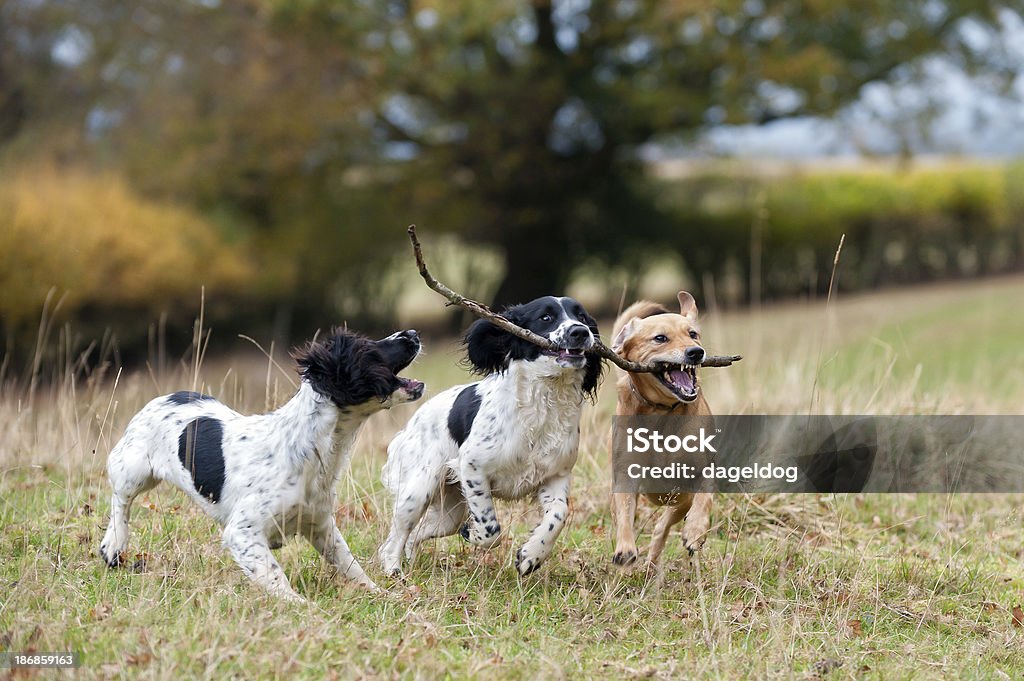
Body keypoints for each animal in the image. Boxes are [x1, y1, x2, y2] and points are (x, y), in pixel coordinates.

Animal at [98, 329, 423, 602]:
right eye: (367, 348)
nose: (412, 333)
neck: (308, 448)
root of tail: (167, 396)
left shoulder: (320, 525)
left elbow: (350, 565)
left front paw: (383, 593)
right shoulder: (243, 531)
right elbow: (275, 575)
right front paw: (301, 606)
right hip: (133, 471)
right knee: (120, 502)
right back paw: (114, 544)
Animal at [376, 296, 598, 573]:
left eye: (583, 316)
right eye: (546, 317)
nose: (580, 332)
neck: (542, 405)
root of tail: (412, 422)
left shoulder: (556, 476)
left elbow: (558, 516)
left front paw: (531, 555)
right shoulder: (473, 466)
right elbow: (491, 530)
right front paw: (473, 534)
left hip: (451, 511)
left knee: (417, 534)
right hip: (417, 491)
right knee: (395, 538)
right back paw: (393, 571)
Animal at [606, 288, 712, 565]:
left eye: (693, 334)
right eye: (660, 338)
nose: (696, 352)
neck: (661, 410)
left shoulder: (702, 467)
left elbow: (705, 495)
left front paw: (695, 530)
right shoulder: (625, 474)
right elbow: (624, 511)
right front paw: (625, 547)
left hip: (679, 499)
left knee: (662, 526)